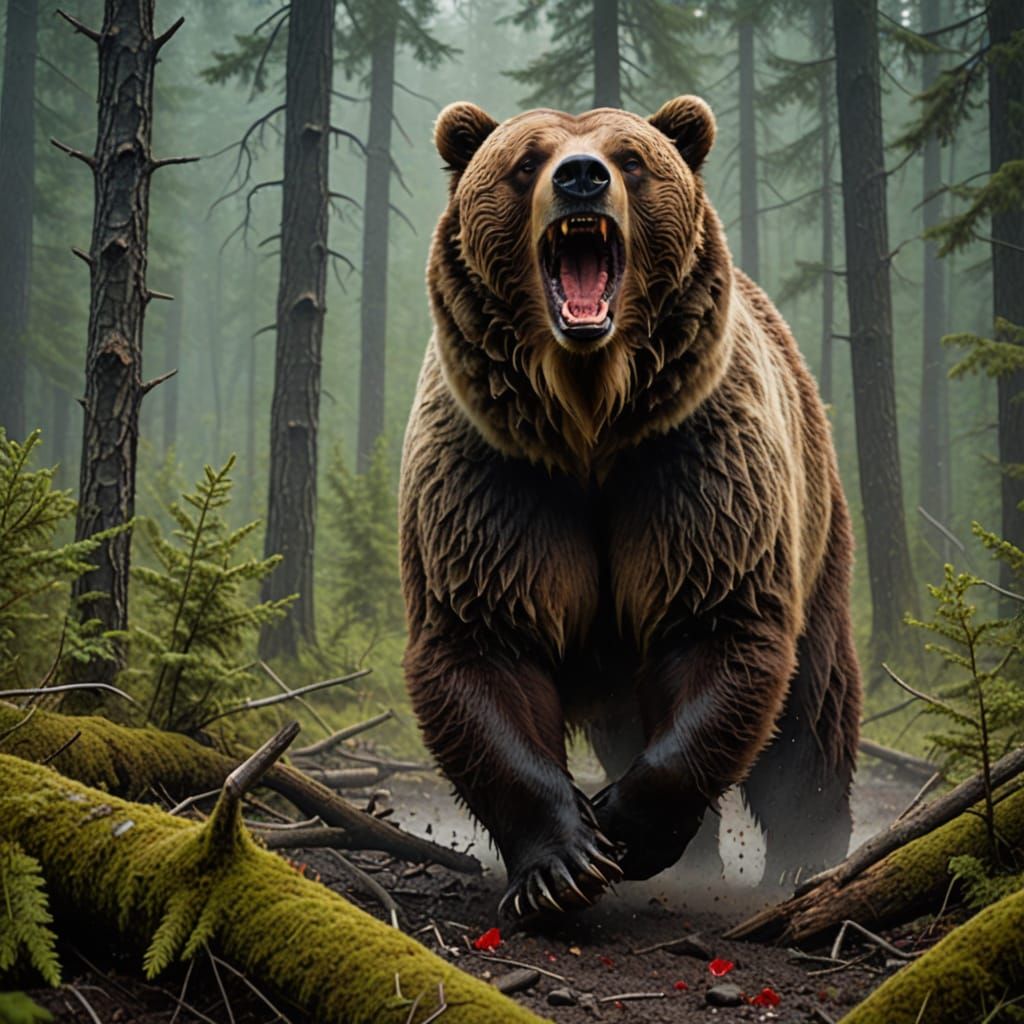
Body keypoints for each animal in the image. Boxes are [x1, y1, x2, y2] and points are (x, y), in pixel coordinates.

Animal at [399, 95, 861, 918]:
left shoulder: (688, 466)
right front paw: (563, 863)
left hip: (815, 513)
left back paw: (804, 855)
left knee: (813, 703)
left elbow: (718, 626)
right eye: (527, 160)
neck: (589, 420)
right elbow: (483, 642)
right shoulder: (494, 478)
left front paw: (623, 823)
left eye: (633, 159)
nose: (581, 176)